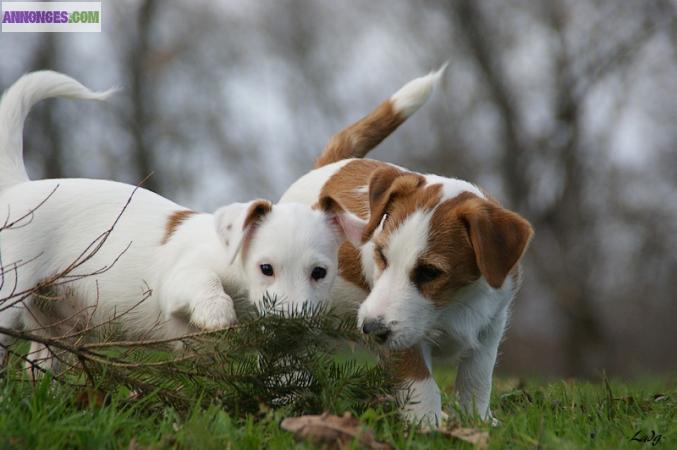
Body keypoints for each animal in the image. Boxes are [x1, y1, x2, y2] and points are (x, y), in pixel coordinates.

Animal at [0, 72, 364, 370]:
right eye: (266, 269)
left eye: (319, 273)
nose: (293, 326)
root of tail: (19, 186)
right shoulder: (179, 280)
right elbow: (205, 282)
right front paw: (217, 311)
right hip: (10, 291)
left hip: (57, 327)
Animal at [280, 68, 532, 424]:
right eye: (381, 257)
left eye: (430, 272)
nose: (369, 328)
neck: (454, 300)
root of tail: (327, 168)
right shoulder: (403, 341)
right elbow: (420, 383)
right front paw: (429, 424)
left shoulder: (490, 326)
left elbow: (477, 378)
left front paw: (477, 420)